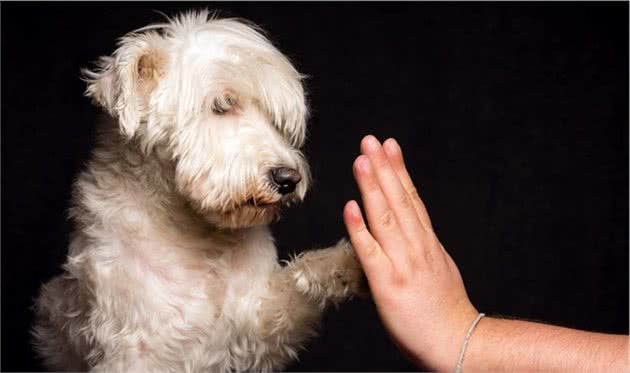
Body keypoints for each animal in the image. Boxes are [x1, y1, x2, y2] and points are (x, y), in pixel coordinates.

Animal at [32, 10, 366, 370]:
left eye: (272, 117)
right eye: (222, 105)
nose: (288, 179)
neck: (199, 237)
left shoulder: (254, 332)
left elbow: (297, 283)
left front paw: (352, 261)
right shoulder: (135, 350)